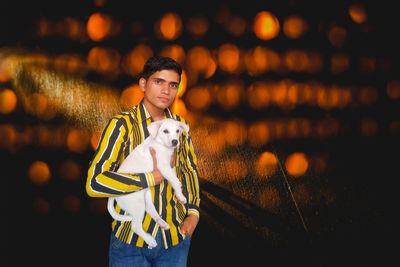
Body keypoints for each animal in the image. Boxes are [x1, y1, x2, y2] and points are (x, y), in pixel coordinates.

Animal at [108, 118, 189, 248]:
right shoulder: (163, 167)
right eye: (165, 131)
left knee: (150, 209)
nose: (175, 141)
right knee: (135, 227)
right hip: (137, 204)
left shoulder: (170, 168)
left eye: (177, 131)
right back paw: (149, 239)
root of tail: (113, 195)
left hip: (146, 196)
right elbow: (176, 182)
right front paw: (181, 195)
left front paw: (180, 196)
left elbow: (175, 180)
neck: (161, 145)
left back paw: (161, 222)